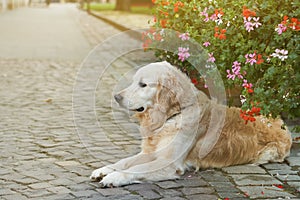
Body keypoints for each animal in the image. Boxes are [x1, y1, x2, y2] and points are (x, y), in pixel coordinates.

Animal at [90, 61, 292, 188]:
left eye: (143, 85)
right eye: (133, 82)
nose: (116, 97)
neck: (172, 116)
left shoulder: (169, 163)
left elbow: (135, 169)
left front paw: (114, 177)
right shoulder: (150, 153)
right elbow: (124, 162)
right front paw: (104, 170)